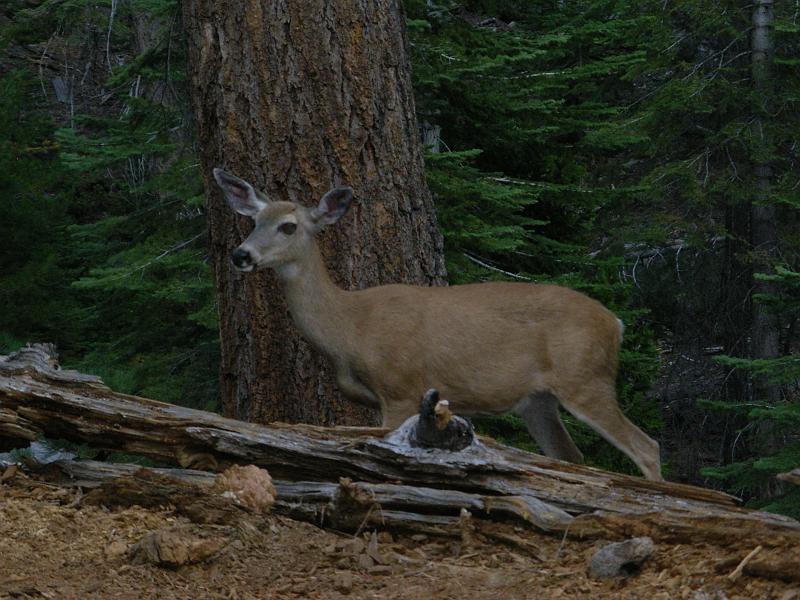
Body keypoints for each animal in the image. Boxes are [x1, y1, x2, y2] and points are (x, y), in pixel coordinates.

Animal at [212, 166, 664, 480]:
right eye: (254, 221)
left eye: (288, 226)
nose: (241, 255)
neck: (349, 327)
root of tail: (616, 323)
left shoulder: (399, 388)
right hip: (539, 400)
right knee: (572, 457)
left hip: (585, 378)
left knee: (647, 446)